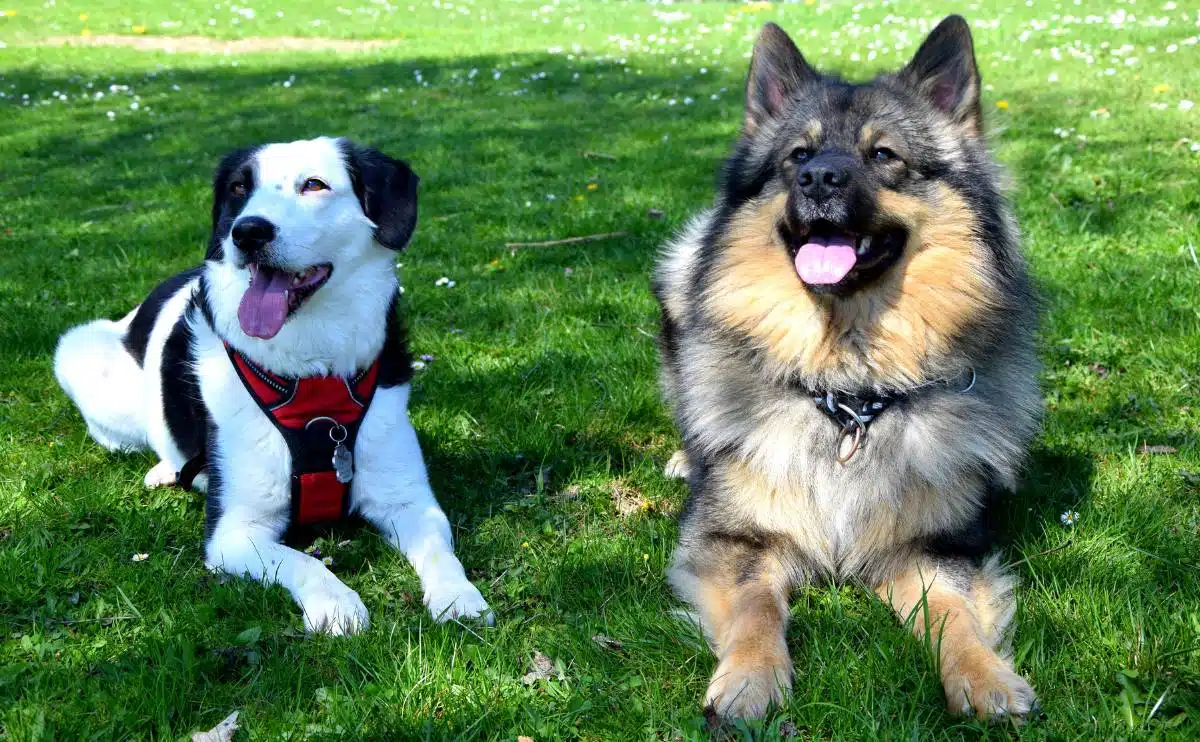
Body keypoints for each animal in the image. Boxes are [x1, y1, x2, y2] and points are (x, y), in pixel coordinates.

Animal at [54, 137, 494, 629]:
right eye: (238, 188)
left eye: (314, 184)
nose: (246, 232)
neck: (310, 374)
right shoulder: (233, 533)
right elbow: (302, 561)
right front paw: (336, 604)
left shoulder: (410, 501)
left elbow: (439, 551)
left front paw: (458, 595)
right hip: (82, 355)